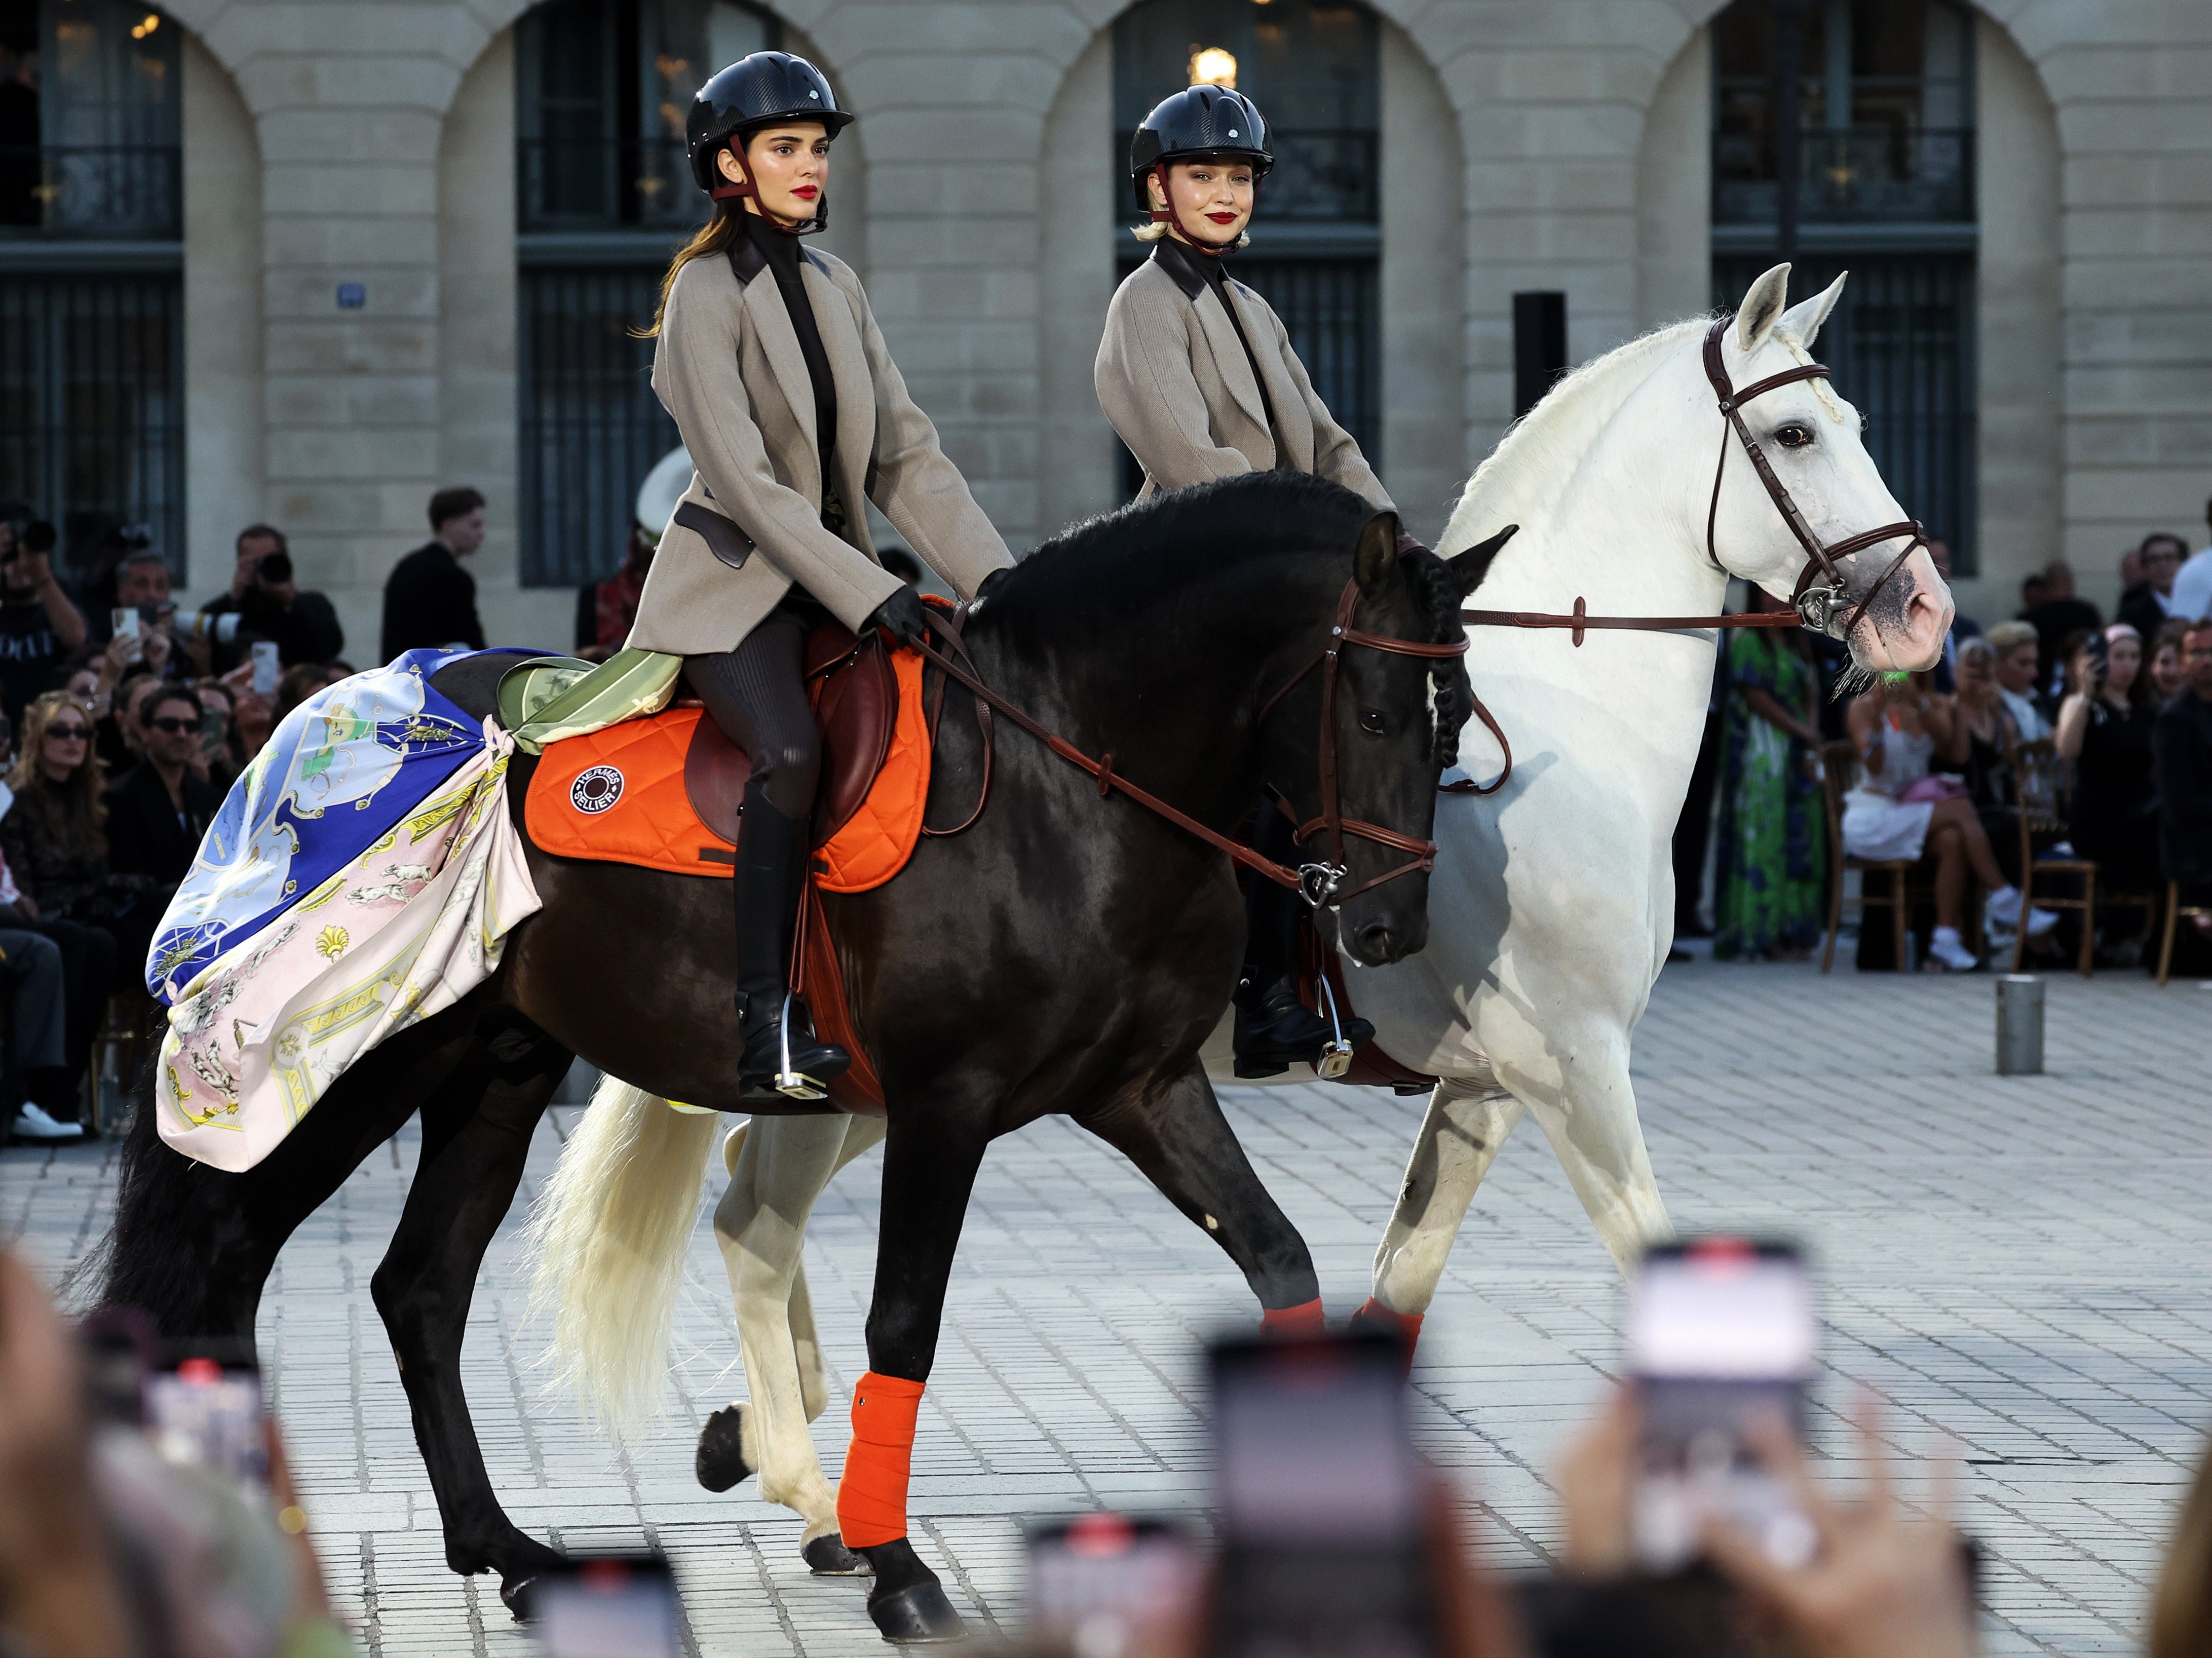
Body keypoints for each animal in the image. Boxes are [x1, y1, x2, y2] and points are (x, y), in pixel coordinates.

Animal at [95, 479, 1495, 1653]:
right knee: (226, 1255)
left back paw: (510, 1548)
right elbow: (905, 1321)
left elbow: (1278, 1258)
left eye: (1452, 735)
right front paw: (897, 1568)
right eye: (1374, 711)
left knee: (420, 1288)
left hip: (496, 1064)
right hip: (358, 1063)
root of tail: (322, 718)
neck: (1066, 785)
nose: (1387, 929)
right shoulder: (945, 1102)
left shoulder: (1139, 1088)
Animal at [530, 263, 1955, 1574]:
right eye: (1794, 435)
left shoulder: (1488, 1087)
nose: (1921, 609)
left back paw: (780, 1463)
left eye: (1855, 419)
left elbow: (1397, 1283)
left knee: (749, 1211)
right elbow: (1650, 1252)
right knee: (751, 1217)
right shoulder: (1572, 1067)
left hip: (872, 1083)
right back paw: (805, 1479)